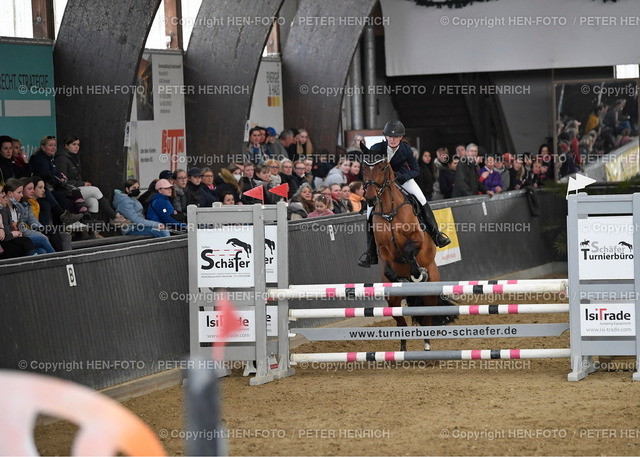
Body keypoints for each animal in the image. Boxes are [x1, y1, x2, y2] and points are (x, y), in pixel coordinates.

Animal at [364, 159, 456, 350]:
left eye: (382, 168)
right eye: (363, 169)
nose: (370, 199)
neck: (389, 211)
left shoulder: (417, 239)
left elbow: (408, 251)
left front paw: (418, 274)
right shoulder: (382, 248)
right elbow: (389, 268)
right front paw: (402, 278)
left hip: (430, 295)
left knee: (427, 319)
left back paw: (427, 346)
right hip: (392, 301)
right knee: (401, 323)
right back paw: (402, 350)